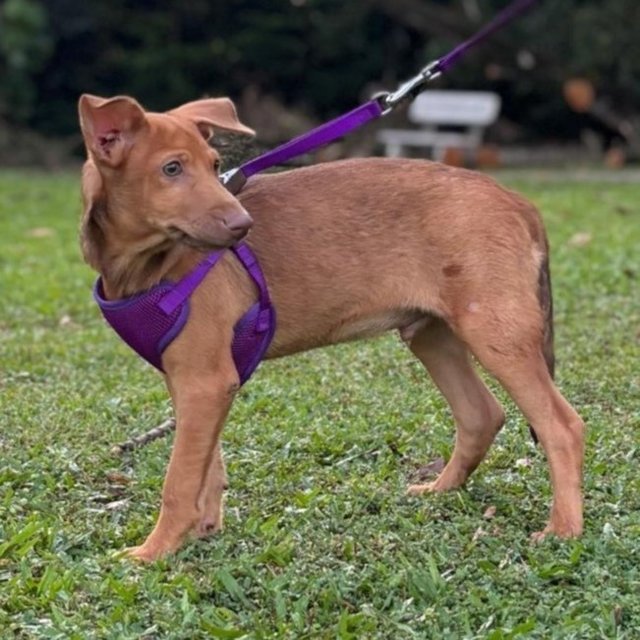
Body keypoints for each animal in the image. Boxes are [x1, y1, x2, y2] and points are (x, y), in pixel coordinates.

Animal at [77, 94, 584, 560]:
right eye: (172, 169)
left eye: (214, 164)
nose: (243, 225)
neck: (146, 266)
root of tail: (518, 202)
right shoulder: (194, 381)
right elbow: (208, 465)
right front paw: (202, 532)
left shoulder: (206, 380)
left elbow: (179, 480)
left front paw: (153, 552)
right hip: (432, 334)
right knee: (482, 414)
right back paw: (440, 489)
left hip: (496, 333)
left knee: (562, 425)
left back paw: (563, 529)